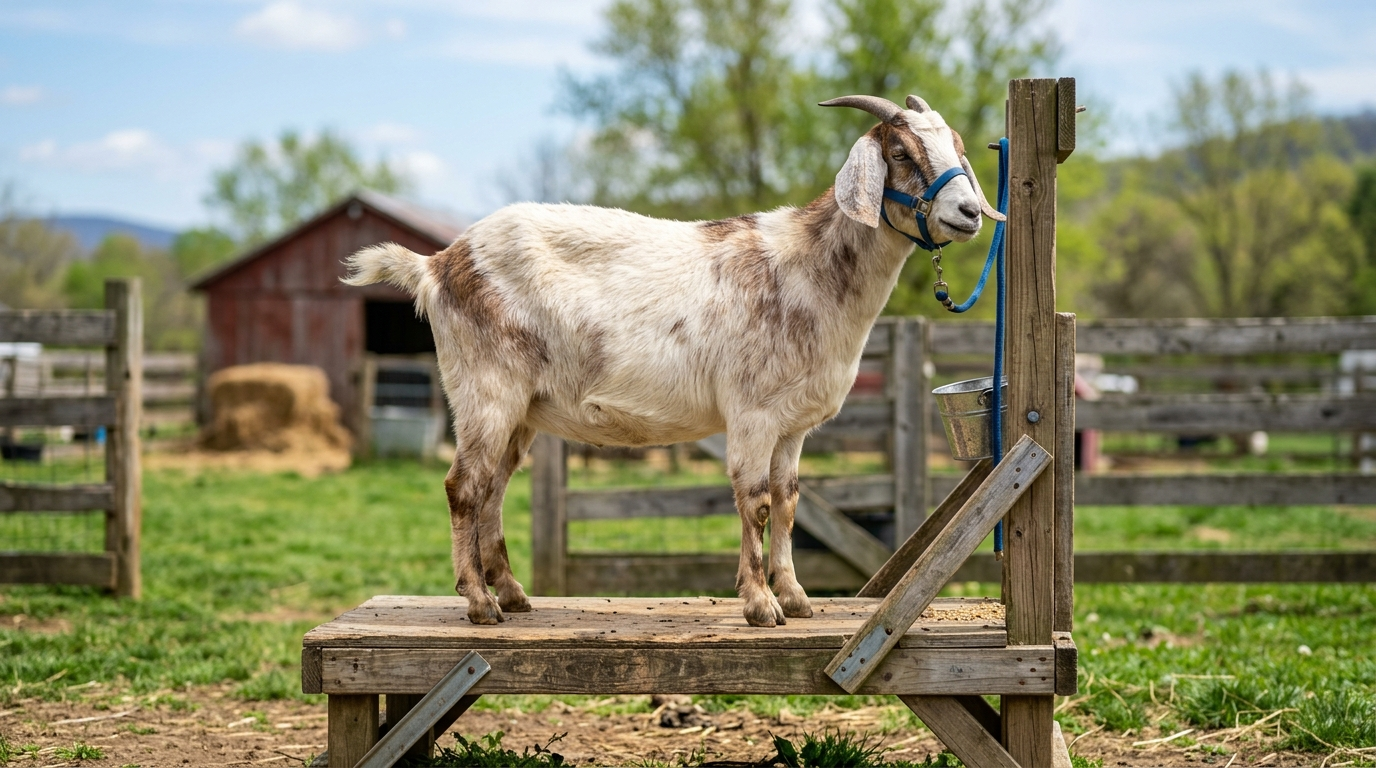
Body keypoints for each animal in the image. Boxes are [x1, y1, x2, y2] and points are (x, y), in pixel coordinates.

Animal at [344, 94, 1004, 627]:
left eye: (959, 148)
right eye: (898, 150)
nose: (970, 213)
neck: (807, 270)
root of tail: (437, 264)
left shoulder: (792, 424)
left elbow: (790, 501)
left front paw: (795, 598)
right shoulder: (752, 413)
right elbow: (756, 501)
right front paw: (759, 605)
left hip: (519, 411)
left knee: (494, 489)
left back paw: (512, 594)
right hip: (485, 391)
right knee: (463, 487)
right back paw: (480, 604)